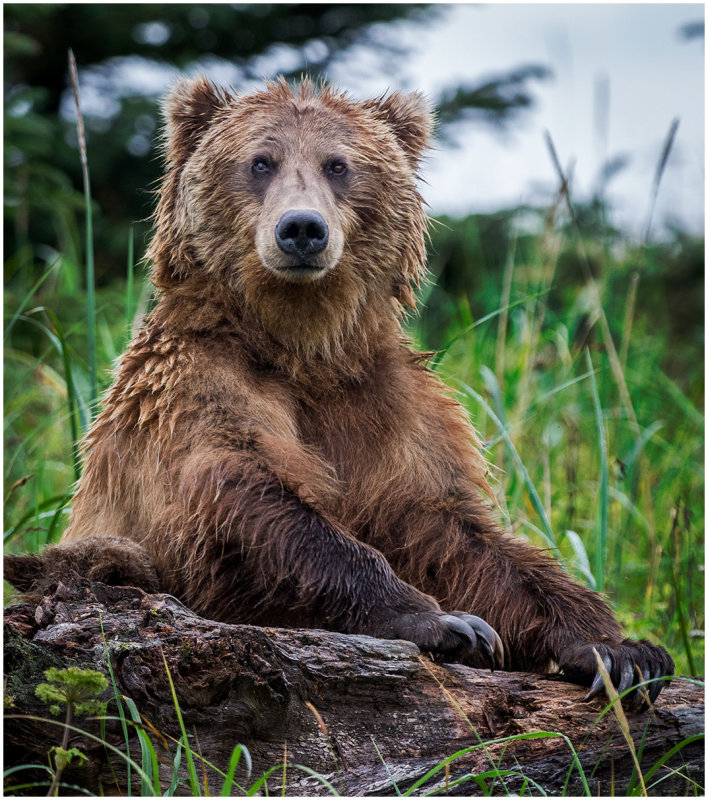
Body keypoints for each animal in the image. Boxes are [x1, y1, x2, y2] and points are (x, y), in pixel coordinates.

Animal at [9, 78, 676, 708]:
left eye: (338, 164)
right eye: (261, 161)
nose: (302, 228)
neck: (303, 348)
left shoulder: (386, 411)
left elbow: (454, 532)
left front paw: (618, 650)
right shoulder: (192, 389)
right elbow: (242, 494)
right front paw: (445, 622)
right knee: (101, 559)